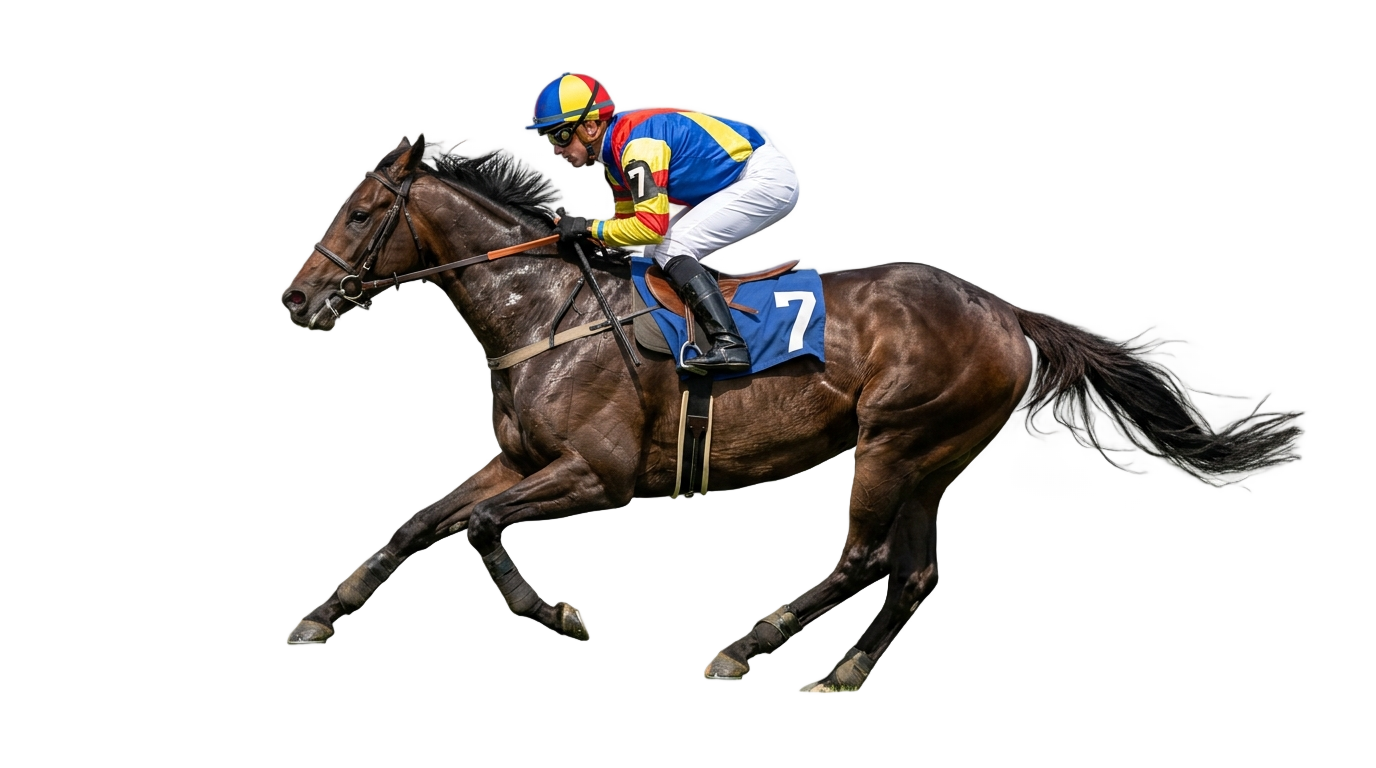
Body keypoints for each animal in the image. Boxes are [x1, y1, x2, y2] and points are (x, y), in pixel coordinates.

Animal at [279, 135, 1299, 689]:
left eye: (362, 212)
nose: (297, 299)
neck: (546, 311)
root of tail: (1004, 312)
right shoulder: (520, 461)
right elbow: (420, 520)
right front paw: (325, 614)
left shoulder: (597, 474)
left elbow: (483, 529)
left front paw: (559, 617)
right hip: (936, 459)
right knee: (915, 572)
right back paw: (843, 676)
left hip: (894, 441)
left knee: (864, 560)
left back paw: (748, 648)